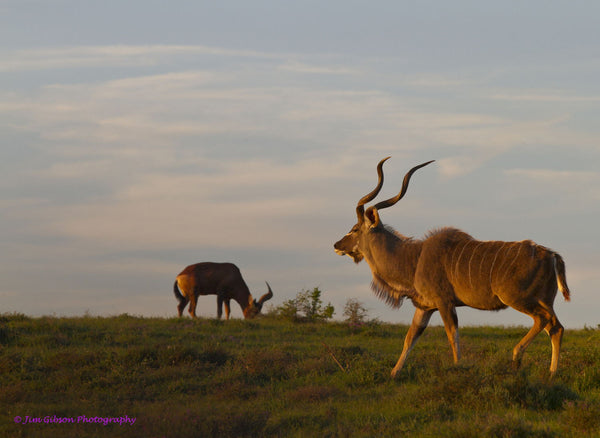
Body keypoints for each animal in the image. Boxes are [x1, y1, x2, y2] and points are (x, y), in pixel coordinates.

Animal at [332, 159, 572, 378]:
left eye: (355, 229)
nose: (337, 245)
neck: (414, 258)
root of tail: (551, 255)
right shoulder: (424, 307)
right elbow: (409, 338)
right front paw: (393, 373)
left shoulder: (444, 302)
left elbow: (452, 336)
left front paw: (458, 368)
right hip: (543, 301)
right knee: (556, 327)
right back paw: (552, 373)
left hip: (518, 299)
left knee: (543, 320)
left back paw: (516, 356)